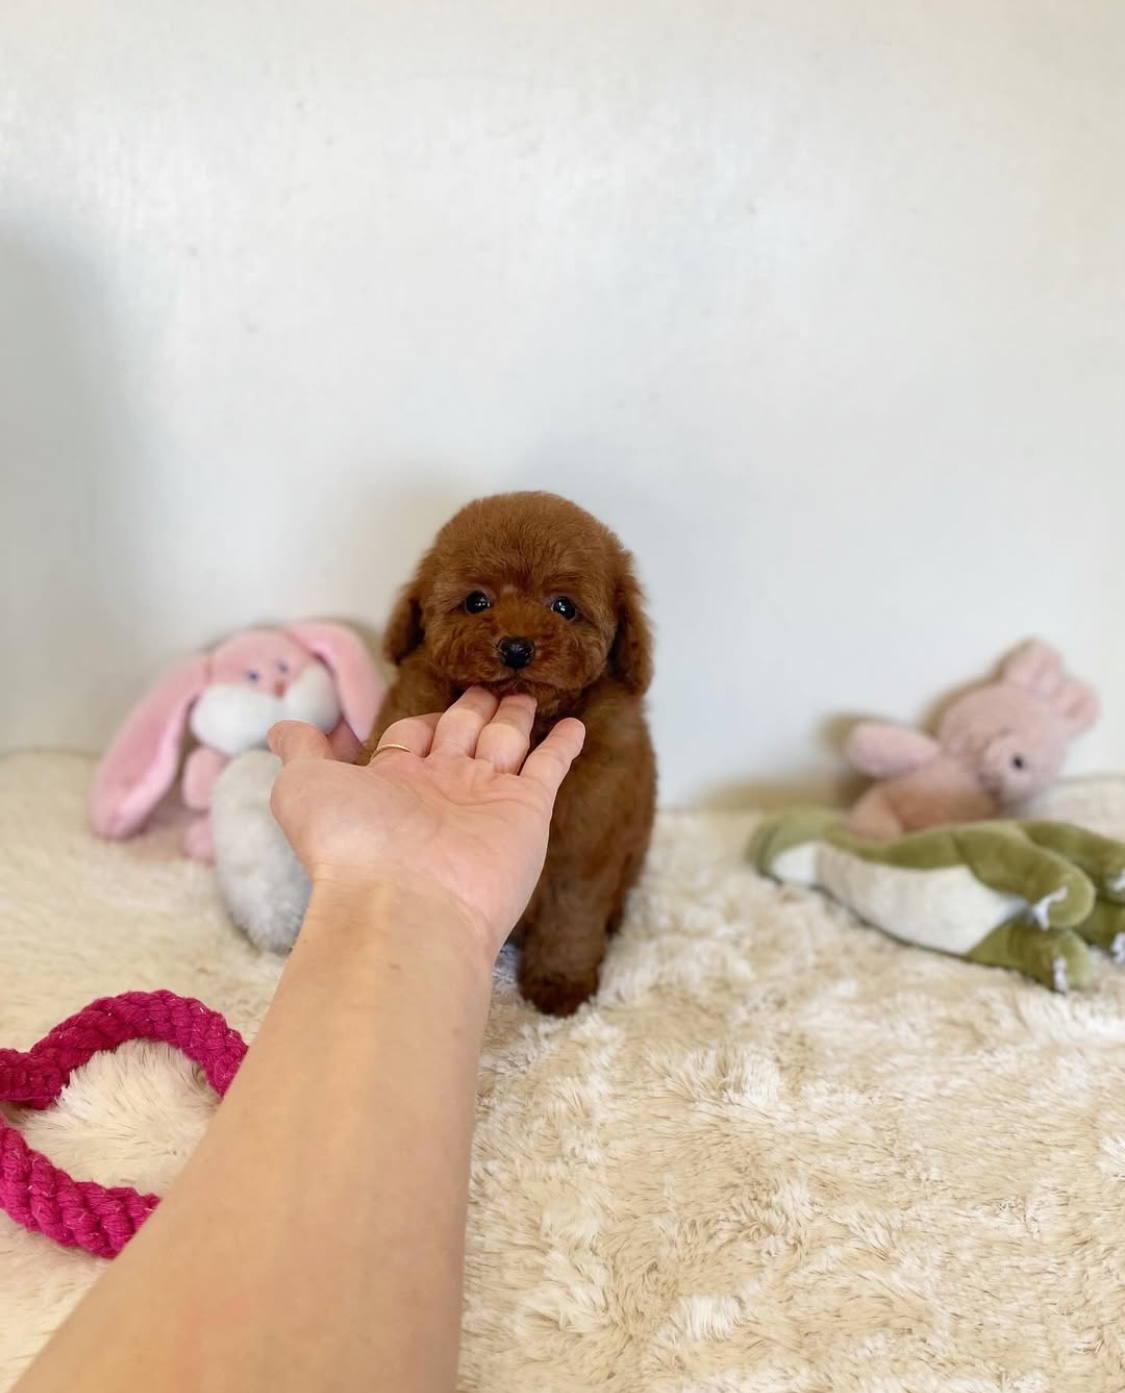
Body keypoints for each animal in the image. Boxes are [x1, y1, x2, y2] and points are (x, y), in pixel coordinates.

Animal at [361, 491, 656, 1015]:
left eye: (563, 607)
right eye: (477, 601)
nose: (516, 647)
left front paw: (559, 986)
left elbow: (571, 919)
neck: (536, 724)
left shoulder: (586, 848)